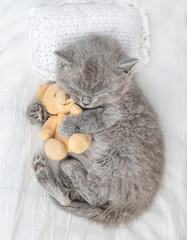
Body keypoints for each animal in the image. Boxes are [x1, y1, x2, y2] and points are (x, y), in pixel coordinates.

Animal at [27, 34, 164, 227]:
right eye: (77, 87)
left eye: (101, 91)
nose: (86, 100)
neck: (125, 90)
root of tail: (131, 208)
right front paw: (38, 113)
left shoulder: (114, 112)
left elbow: (90, 118)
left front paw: (67, 126)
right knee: (68, 197)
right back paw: (43, 171)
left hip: (115, 160)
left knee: (95, 196)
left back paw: (70, 166)